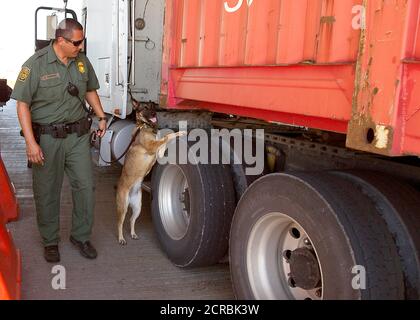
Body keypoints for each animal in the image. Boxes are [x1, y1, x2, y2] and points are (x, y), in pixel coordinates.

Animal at [115, 109, 186, 245]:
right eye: (145, 108)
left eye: (152, 107)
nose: (155, 114)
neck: (144, 127)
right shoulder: (153, 146)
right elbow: (167, 136)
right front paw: (180, 132)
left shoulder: (158, 152)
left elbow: (164, 142)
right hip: (122, 207)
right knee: (119, 223)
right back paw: (121, 238)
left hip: (138, 208)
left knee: (131, 220)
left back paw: (133, 234)